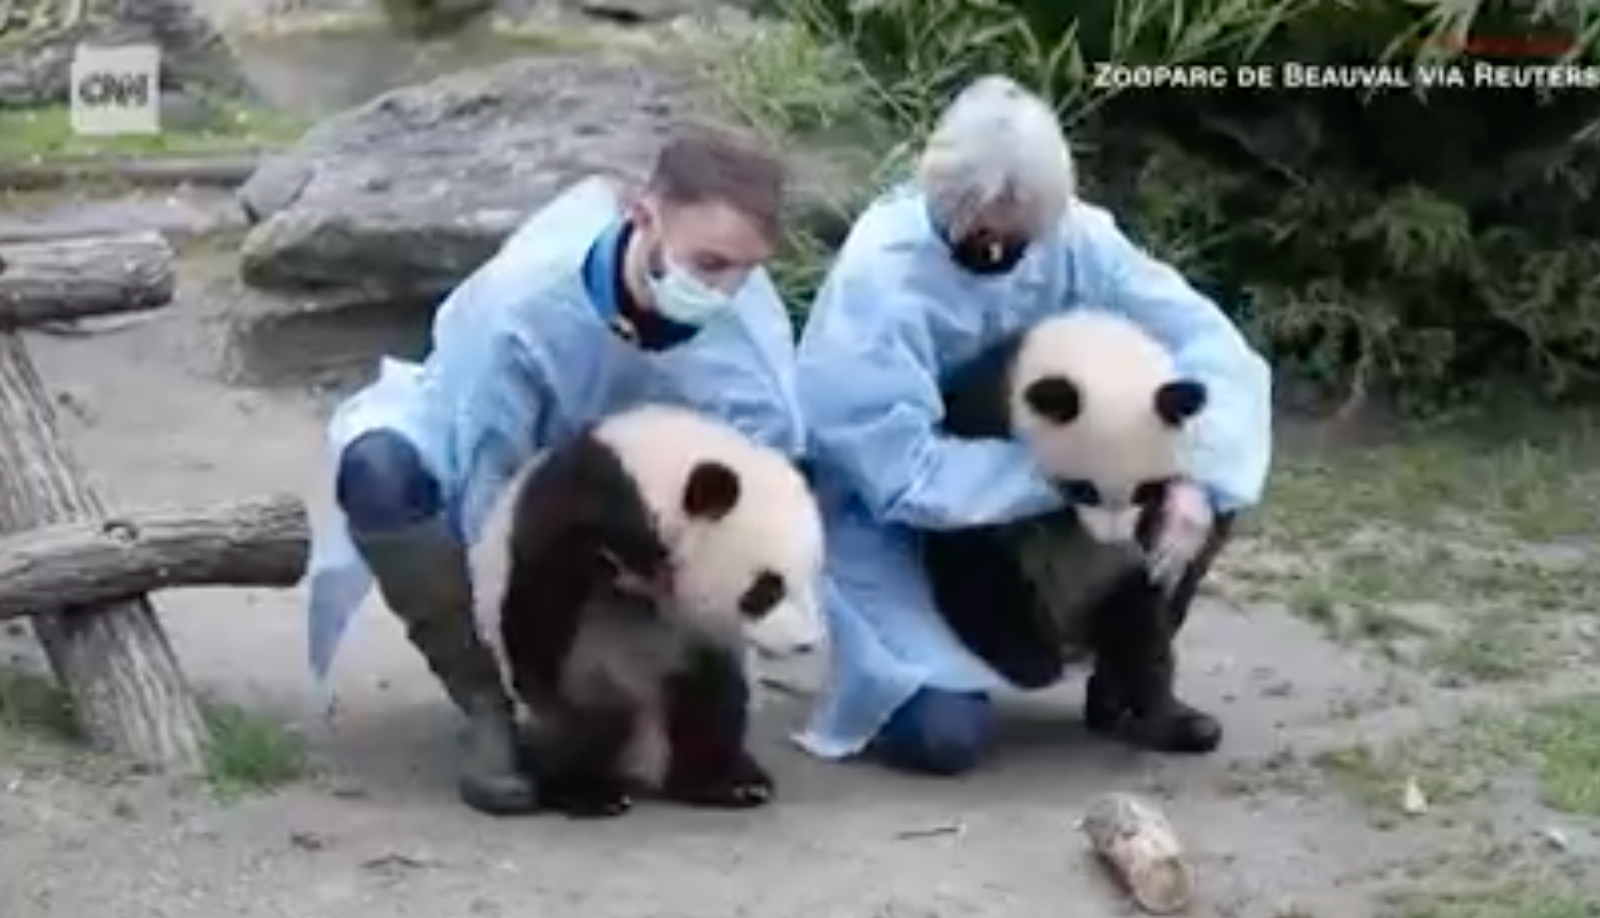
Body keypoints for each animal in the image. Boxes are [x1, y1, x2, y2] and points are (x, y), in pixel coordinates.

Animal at [470, 403, 826, 818]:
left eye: (812, 576)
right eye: (767, 589)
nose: (806, 644)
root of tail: (643, 756)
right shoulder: (576, 513)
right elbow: (538, 602)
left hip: (683, 665)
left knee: (710, 703)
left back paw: (728, 782)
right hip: (590, 673)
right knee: (574, 724)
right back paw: (589, 790)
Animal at [919, 308, 1221, 754]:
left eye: (1146, 489)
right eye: (1083, 489)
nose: (1113, 540)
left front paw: (1182, 516)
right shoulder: (984, 415)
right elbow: (971, 536)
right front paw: (1021, 657)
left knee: (1139, 627)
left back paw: (1175, 722)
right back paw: (1031, 660)